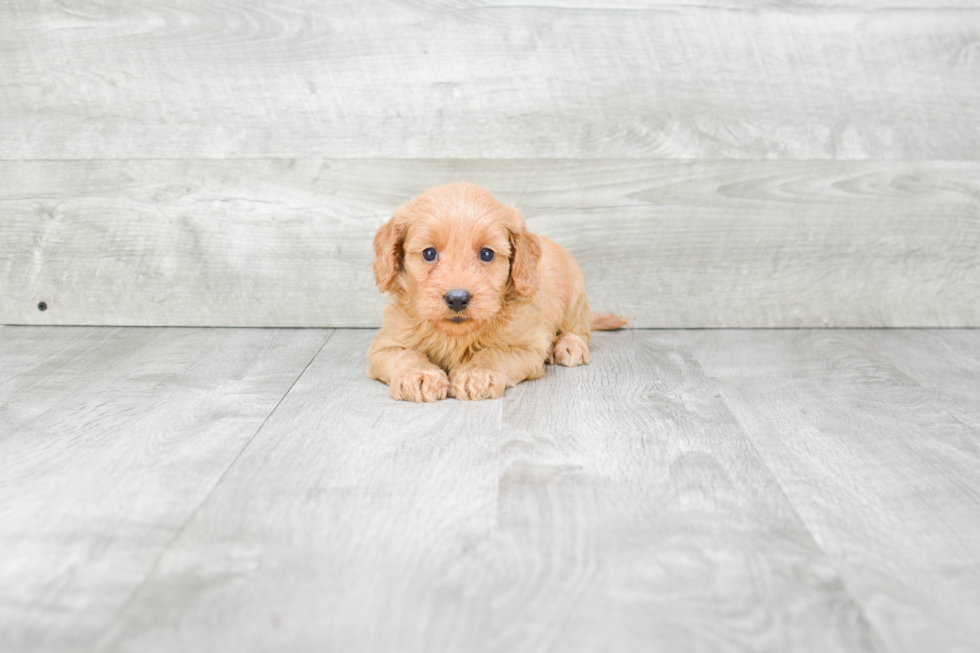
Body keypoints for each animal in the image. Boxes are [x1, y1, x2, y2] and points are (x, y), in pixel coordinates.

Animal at [368, 181, 628, 400]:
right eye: (429, 253)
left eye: (486, 254)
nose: (457, 299)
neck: (456, 335)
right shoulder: (384, 345)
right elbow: (406, 355)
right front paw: (419, 375)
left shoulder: (527, 346)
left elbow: (494, 353)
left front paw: (477, 372)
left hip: (576, 293)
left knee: (580, 330)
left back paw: (569, 345)